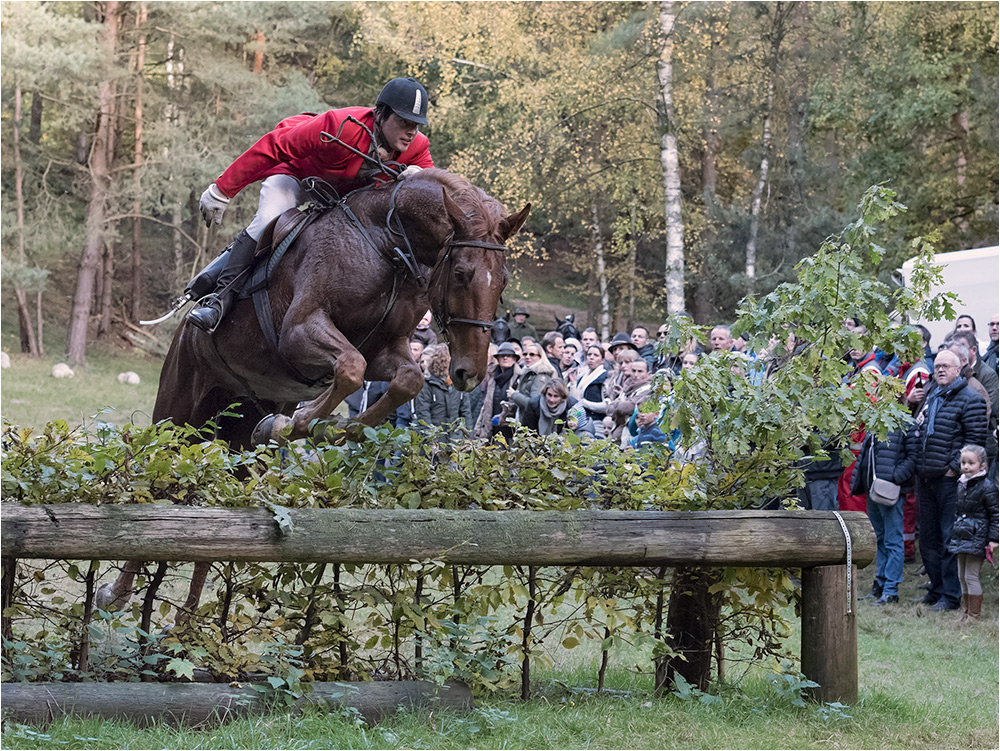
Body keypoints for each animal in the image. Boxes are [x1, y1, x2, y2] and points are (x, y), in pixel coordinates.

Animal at [99, 172, 532, 624]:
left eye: (502, 282)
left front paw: (334, 429)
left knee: (229, 499)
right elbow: (351, 368)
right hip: (179, 414)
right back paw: (116, 595)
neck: (386, 243)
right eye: (462, 273)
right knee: (160, 476)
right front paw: (311, 423)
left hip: (242, 436)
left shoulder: (386, 351)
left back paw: (186, 622)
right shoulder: (300, 331)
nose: (470, 372)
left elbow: (406, 379)